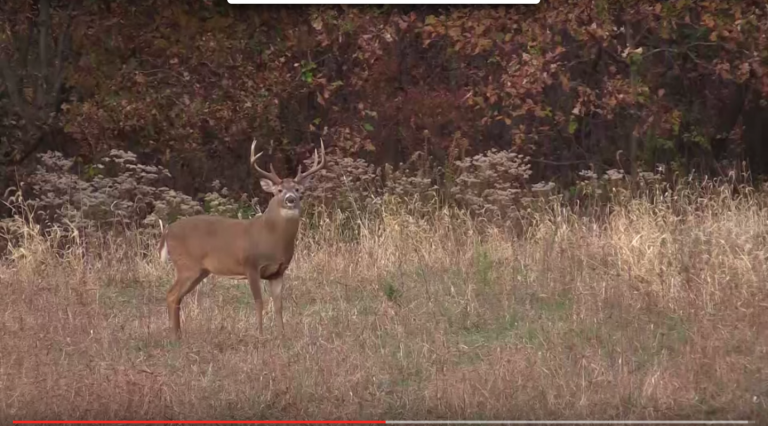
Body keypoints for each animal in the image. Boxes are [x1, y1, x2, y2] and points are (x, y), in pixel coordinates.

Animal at [156, 139, 326, 340]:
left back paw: (179, 335)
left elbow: (278, 304)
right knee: (171, 294)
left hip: (199, 270)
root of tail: (167, 231)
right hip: (186, 265)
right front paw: (260, 334)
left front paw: (282, 335)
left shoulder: (278, 271)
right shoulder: (250, 265)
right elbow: (259, 301)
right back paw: (174, 336)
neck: (271, 237)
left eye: (298, 189)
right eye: (279, 190)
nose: (291, 199)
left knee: (177, 296)